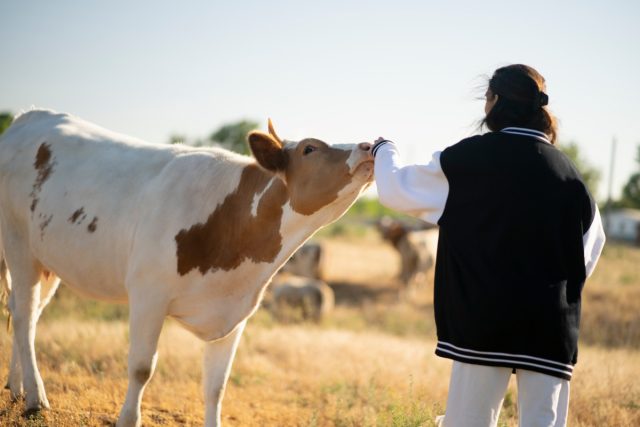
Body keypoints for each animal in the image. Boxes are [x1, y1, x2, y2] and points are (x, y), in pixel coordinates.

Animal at [0, 108, 376, 426]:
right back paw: (35, 398)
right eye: (310, 148)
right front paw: (128, 419)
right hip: (17, 243)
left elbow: (216, 386)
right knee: (24, 315)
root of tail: (27, 117)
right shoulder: (148, 294)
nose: (369, 145)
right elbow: (141, 368)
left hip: (47, 260)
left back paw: (17, 388)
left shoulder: (234, 314)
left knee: (25, 313)